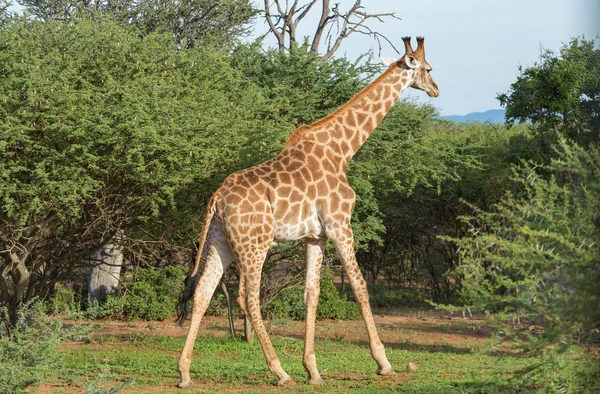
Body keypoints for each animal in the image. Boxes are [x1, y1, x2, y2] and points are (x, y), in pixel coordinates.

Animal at [176, 35, 438, 386]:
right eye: (428, 68)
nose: (436, 89)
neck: (342, 150)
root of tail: (217, 197)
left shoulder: (315, 235)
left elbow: (311, 294)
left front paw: (313, 370)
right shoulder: (341, 224)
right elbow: (360, 286)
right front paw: (383, 361)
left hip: (221, 241)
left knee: (204, 292)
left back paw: (184, 372)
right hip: (255, 243)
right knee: (248, 296)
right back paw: (279, 371)